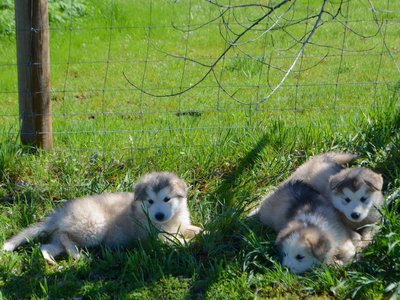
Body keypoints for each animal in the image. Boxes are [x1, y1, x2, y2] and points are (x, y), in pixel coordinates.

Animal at [1, 172, 202, 264]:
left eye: (167, 199)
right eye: (150, 201)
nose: (159, 215)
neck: (169, 221)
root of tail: (60, 213)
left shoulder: (179, 224)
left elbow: (191, 228)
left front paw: (200, 231)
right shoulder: (154, 237)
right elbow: (174, 239)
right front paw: (188, 242)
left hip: (59, 239)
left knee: (46, 246)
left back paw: (51, 260)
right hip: (94, 226)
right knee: (66, 236)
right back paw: (78, 255)